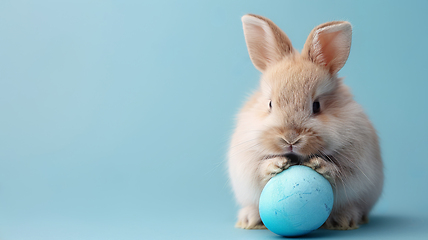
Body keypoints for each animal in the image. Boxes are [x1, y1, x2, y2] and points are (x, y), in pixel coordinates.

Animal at [229, 13, 382, 231]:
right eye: (270, 104)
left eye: (316, 106)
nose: (290, 139)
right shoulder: (245, 162)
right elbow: (258, 169)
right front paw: (276, 164)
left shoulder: (356, 164)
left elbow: (340, 172)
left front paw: (319, 165)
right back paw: (249, 220)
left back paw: (344, 220)